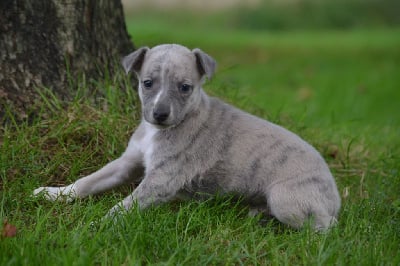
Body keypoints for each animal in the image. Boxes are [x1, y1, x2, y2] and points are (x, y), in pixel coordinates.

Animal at [34, 44, 340, 231]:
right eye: (147, 83)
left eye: (185, 87)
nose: (159, 114)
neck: (160, 131)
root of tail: (335, 193)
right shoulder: (127, 162)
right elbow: (88, 181)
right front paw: (53, 193)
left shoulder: (161, 180)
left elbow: (124, 206)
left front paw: (96, 227)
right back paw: (257, 214)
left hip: (285, 198)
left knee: (323, 226)